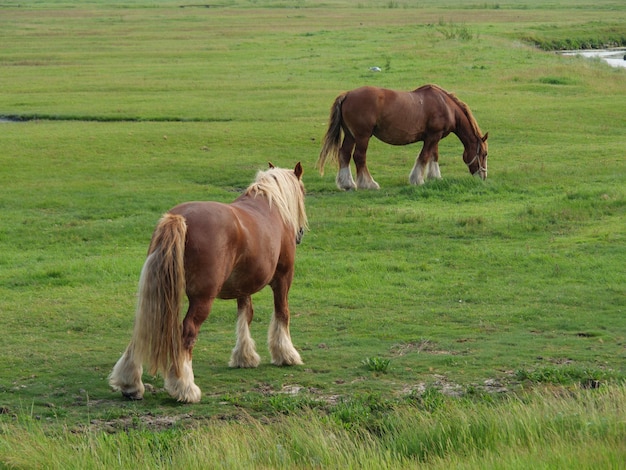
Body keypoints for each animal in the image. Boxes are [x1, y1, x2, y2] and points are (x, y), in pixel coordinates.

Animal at [111, 163, 310, 402]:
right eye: (304, 191)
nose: (300, 235)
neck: (271, 206)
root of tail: (179, 218)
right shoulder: (283, 278)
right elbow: (282, 313)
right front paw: (286, 354)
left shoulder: (243, 286)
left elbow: (245, 315)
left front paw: (244, 357)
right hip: (202, 299)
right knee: (187, 333)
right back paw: (185, 388)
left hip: (158, 294)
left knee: (143, 329)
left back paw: (130, 383)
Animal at [316, 84, 488, 189]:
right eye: (484, 154)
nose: (483, 176)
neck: (445, 105)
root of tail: (347, 95)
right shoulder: (432, 136)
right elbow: (424, 156)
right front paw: (417, 179)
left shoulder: (435, 137)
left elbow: (434, 156)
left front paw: (435, 177)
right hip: (362, 136)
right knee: (359, 157)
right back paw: (369, 184)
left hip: (351, 136)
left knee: (344, 154)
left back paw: (348, 184)